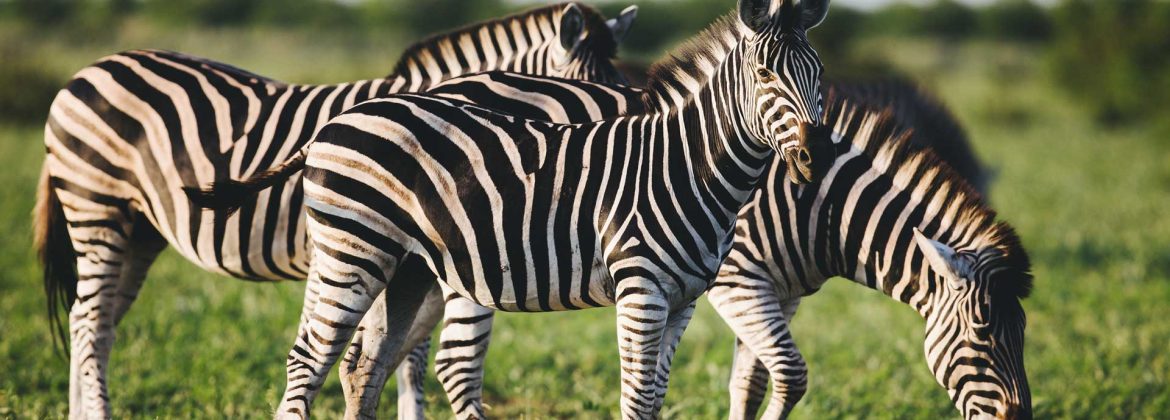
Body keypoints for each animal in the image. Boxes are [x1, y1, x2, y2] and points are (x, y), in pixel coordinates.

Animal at [34, 2, 641, 418]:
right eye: (589, 104)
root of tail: (87, 71)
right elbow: (400, 358)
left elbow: (398, 355)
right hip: (97, 209)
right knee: (90, 322)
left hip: (141, 230)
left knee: (92, 321)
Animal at [187, 1, 833, 418]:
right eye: (765, 73)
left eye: (820, 75)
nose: (818, 154)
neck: (684, 166)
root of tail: (337, 120)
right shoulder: (641, 289)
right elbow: (636, 397)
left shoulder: (684, 302)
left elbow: (653, 399)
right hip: (352, 251)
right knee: (307, 362)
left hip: (407, 268)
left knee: (363, 367)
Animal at [702, 90, 1034, 418]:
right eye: (982, 334)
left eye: (1023, 331)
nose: (1021, 418)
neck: (821, 208)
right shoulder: (737, 285)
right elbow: (789, 376)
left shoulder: (780, 292)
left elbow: (749, 384)